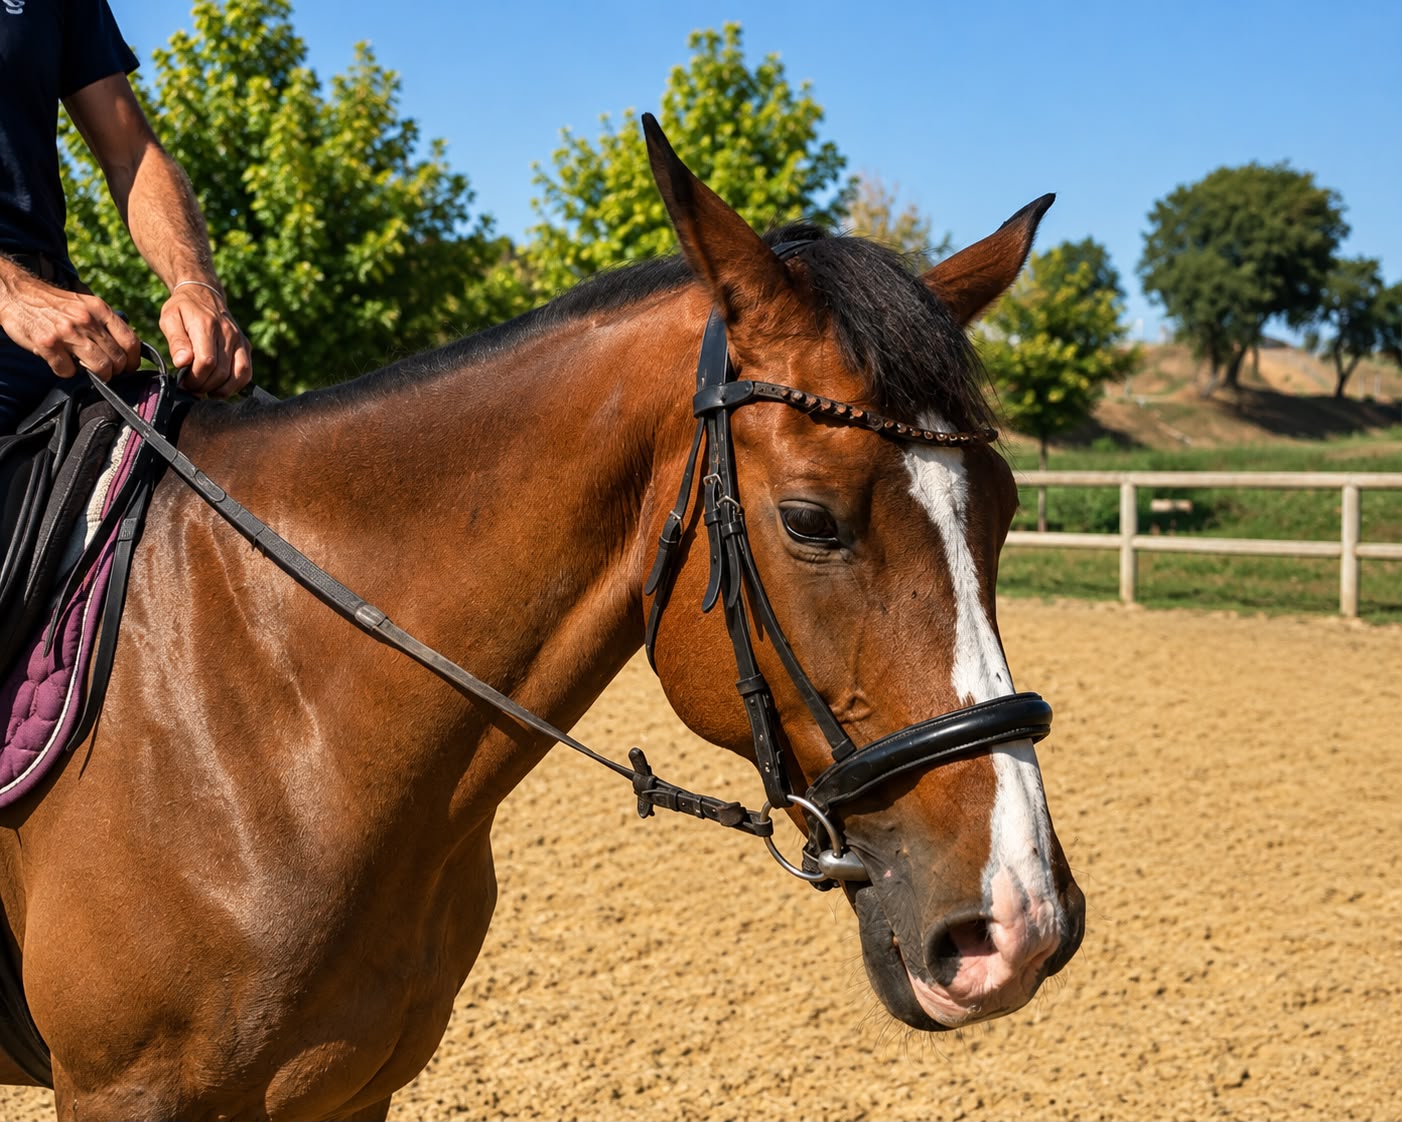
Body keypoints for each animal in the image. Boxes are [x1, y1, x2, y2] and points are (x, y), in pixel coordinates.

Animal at [0, 116, 1084, 1120]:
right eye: (810, 520)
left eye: (1001, 512)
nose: (1016, 927)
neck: (273, 713)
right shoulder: (124, 1092)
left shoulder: (349, 1090)